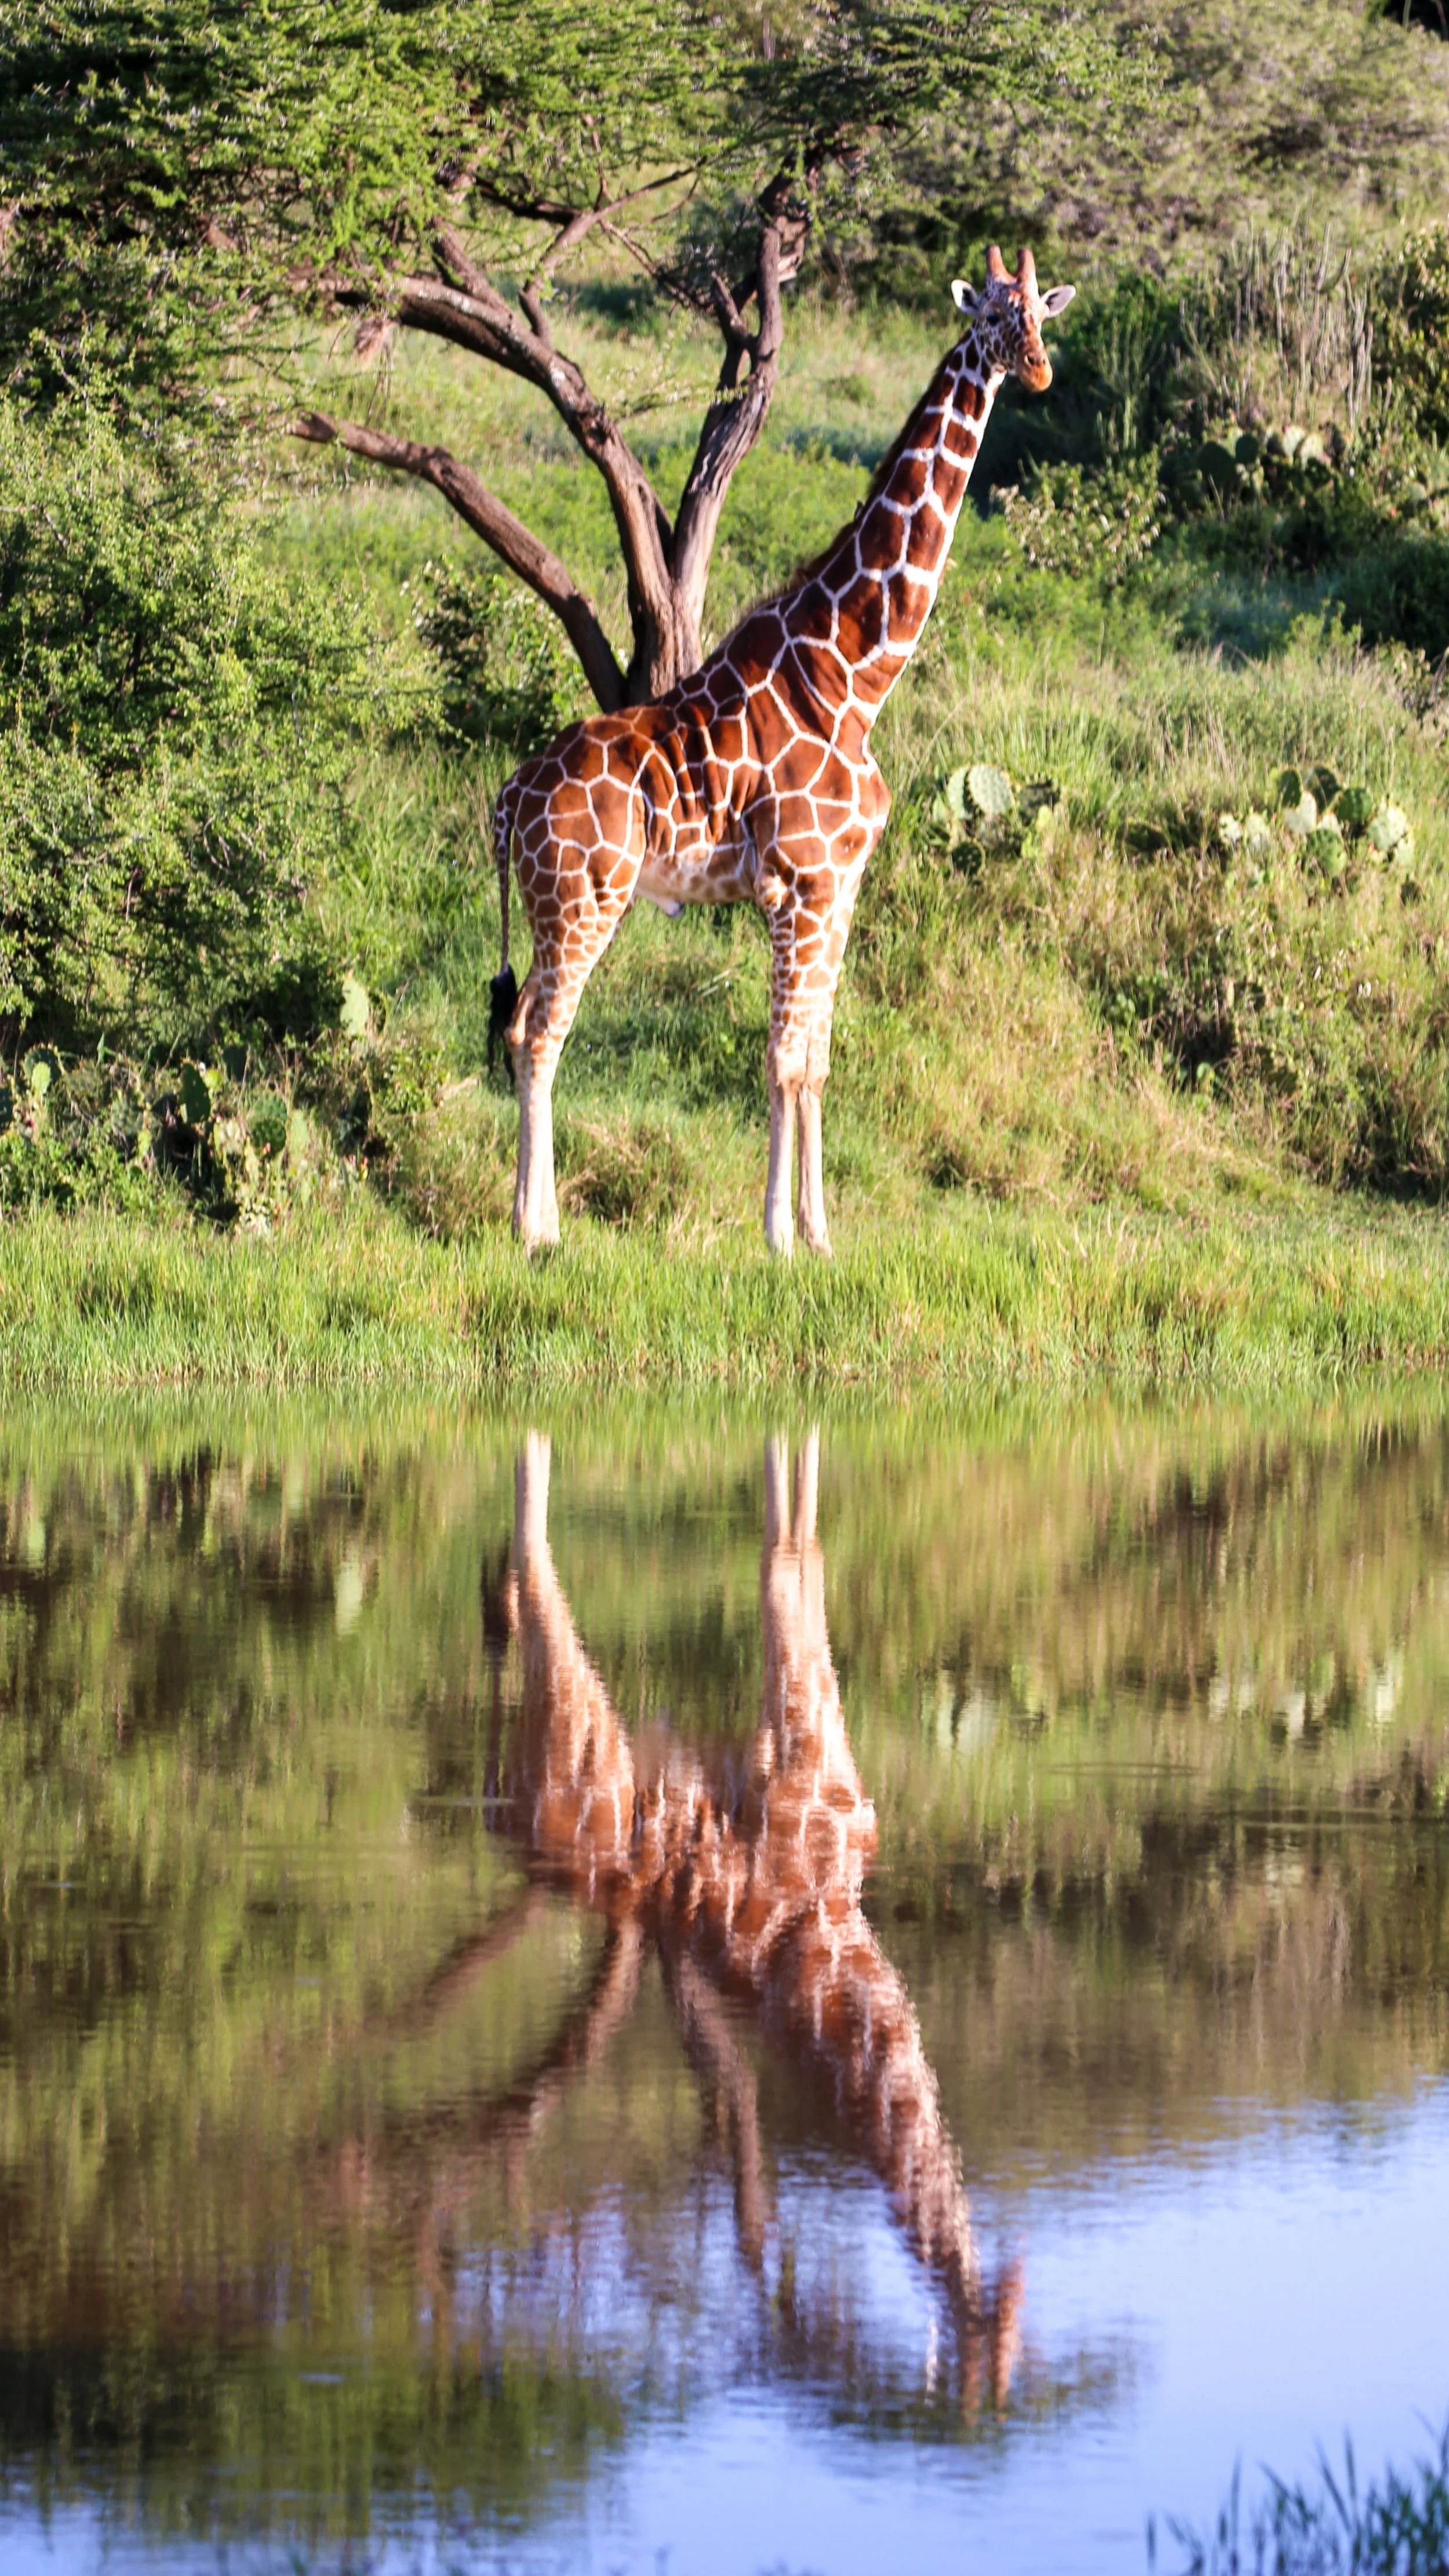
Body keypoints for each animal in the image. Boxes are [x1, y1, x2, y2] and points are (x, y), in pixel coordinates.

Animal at [491, 245, 1074, 1255]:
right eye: (994, 314)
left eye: (1041, 309)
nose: (1035, 369)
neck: (856, 673)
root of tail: (502, 804)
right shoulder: (797, 882)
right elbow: (781, 1058)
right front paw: (775, 1236)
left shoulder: (841, 884)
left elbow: (818, 1059)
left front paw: (821, 1234)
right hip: (582, 900)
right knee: (540, 1032)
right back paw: (538, 1231)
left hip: (555, 903)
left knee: (527, 1021)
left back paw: (541, 1220)